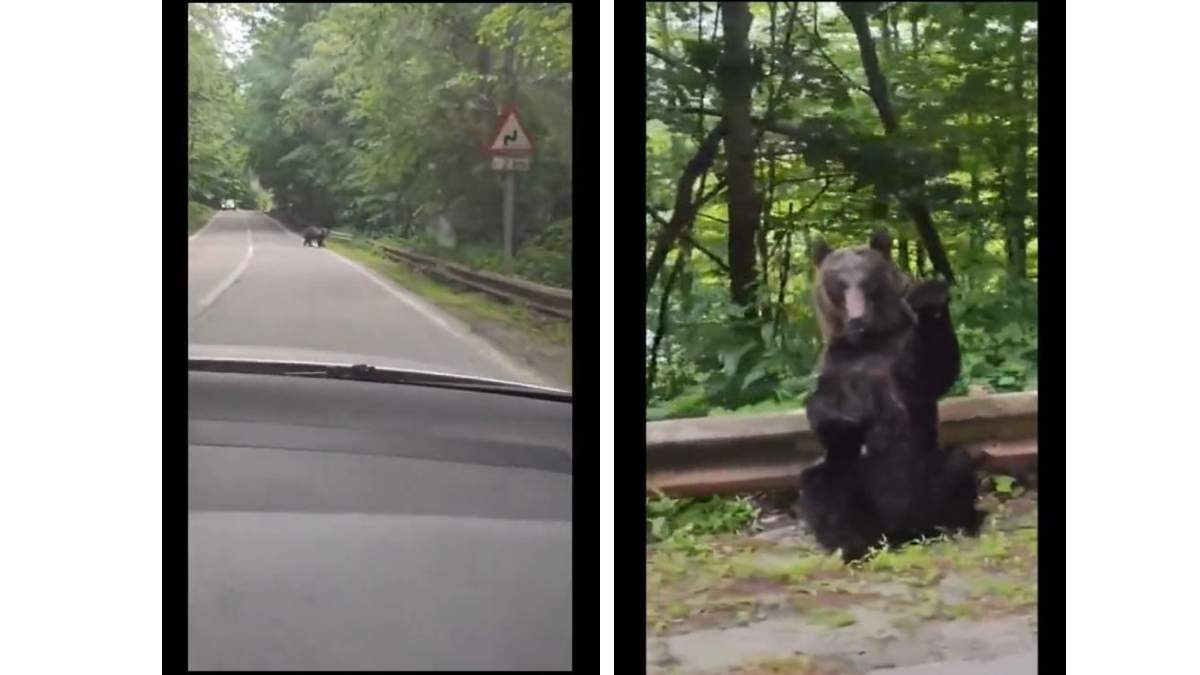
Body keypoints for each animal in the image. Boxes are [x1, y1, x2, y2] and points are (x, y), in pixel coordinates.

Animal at [794, 229, 985, 561]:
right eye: (838, 284)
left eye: (867, 280)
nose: (856, 318)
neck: (868, 342)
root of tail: (900, 532)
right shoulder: (836, 365)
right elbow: (823, 412)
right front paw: (843, 419)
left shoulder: (902, 360)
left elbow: (936, 369)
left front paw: (930, 296)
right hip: (856, 486)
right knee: (821, 484)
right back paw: (852, 545)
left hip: (926, 478)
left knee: (957, 465)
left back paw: (960, 524)